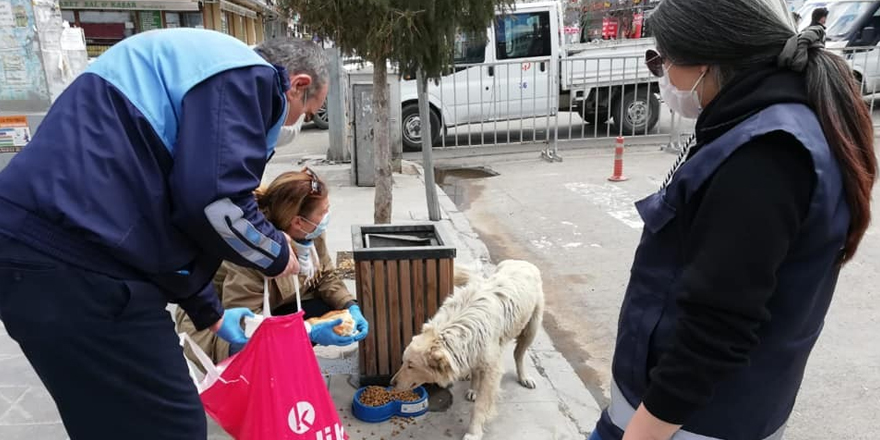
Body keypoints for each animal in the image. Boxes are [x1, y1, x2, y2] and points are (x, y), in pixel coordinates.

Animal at [390, 260, 544, 438]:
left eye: (411, 366)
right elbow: (476, 372)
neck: (461, 326)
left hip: (531, 329)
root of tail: (521, 261)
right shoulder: (474, 350)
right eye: (403, 362)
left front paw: (473, 432)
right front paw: (473, 387)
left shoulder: (492, 370)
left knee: (518, 354)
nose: (392, 383)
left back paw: (524, 377)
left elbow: (480, 406)